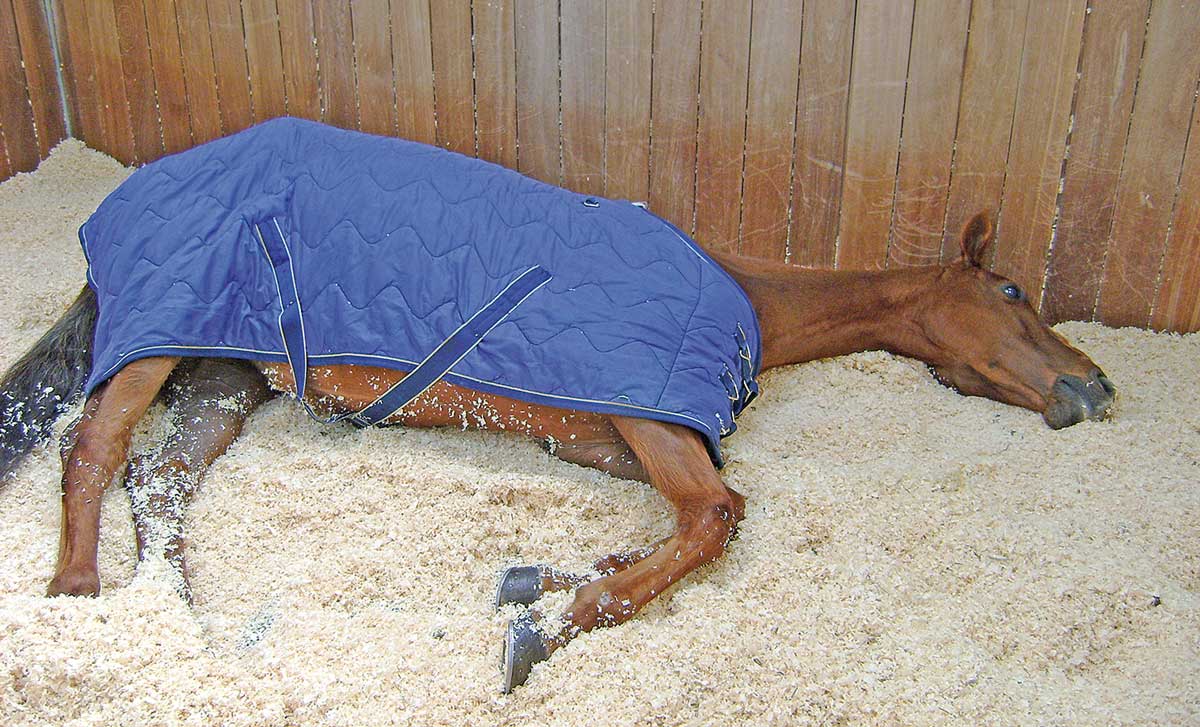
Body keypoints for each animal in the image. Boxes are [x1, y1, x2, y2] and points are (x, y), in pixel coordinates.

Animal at [0, 209, 1114, 692]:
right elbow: (715, 516)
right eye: (1012, 291)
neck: (743, 298)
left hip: (225, 377)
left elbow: (673, 530)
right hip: (160, 342)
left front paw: (544, 584)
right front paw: (548, 625)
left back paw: (176, 614)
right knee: (94, 446)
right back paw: (76, 593)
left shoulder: (606, 441)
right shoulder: (650, 420)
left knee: (161, 477)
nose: (1096, 387)